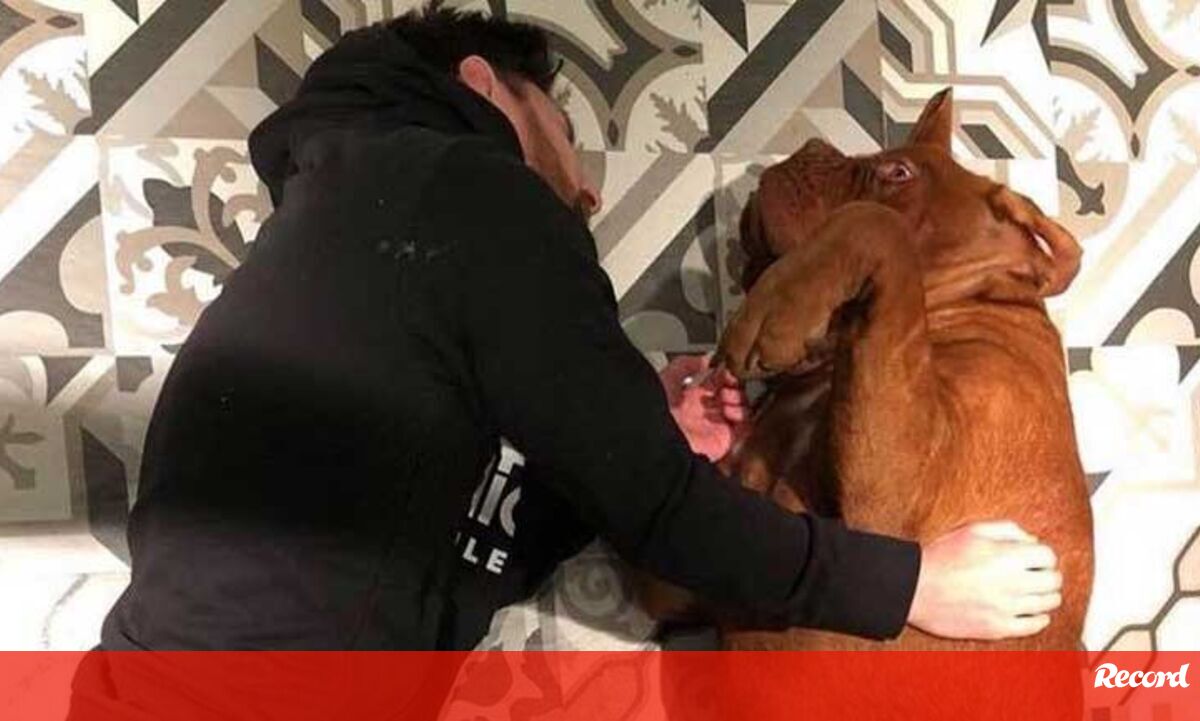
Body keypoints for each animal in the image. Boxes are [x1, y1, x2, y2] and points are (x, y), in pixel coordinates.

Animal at [642, 90, 1093, 653]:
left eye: (897, 172)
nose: (814, 146)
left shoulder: (892, 506)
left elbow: (876, 224)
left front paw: (777, 309)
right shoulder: (694, 570)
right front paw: (698, 416)